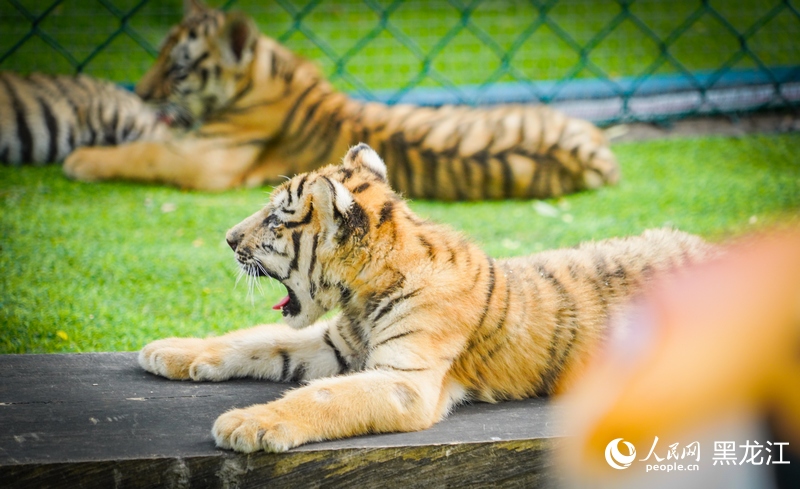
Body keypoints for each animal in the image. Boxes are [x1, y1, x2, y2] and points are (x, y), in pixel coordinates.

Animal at [64, 0, 619, 199]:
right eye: (159, 52)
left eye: (176, 68)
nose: (140, 93)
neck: (270, 75)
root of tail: (597, 152)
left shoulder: (207, 159)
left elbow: (145, 152)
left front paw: (81, 160)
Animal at [137, 143, 711, 453]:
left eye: (278, 218)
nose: (228, 239)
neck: (362, 295)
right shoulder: (334, 343)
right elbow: (253, 341)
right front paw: (168, 350)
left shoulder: (404, 378)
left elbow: (320, 397)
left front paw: (245, 423)